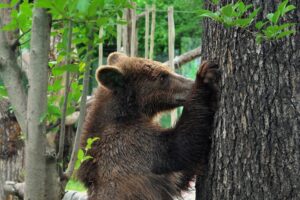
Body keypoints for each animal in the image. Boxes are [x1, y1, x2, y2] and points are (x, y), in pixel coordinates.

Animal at [76, 52, 219, 199]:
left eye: (166, 70)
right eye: (162, 76)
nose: (190, 83)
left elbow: (180, 175)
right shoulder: (133, 145)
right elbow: (180, 146)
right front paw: (204, 77)